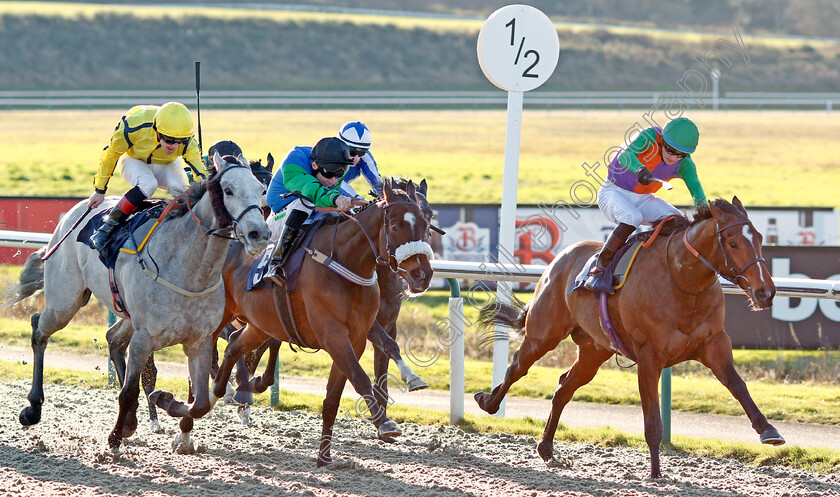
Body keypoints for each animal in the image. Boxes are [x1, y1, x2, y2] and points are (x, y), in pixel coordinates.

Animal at [151, 179, 434, 464]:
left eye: (425, 222)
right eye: (395, 224)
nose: (422, 274)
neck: (345, 264)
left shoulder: (356, 338)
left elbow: (334, 396)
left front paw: (324, 456)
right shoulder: (334, 335)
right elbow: (360, 377)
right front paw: (385, 423)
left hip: (260, 323)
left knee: (233, 345)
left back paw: (219, 394)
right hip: (217, 320)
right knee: (202, 365)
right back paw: (186, 427)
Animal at [472, 197, 780, 476]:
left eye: (760, 238)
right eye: (732, 242)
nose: (765, 291)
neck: (681, 281)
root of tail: (559, 259)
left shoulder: (714, 343)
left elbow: (737, 385)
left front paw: (768, 429)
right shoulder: (649, 356)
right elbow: (652, 420)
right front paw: (655, 473)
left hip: (595, 350)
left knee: (563, 388)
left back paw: (546, 449)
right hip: (543, 334)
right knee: (517, 367)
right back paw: (489, 402)